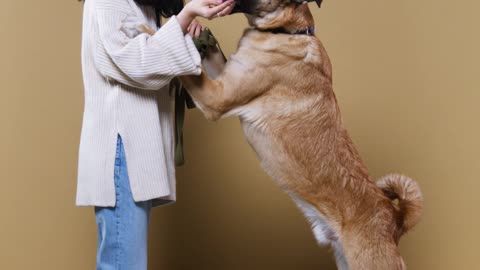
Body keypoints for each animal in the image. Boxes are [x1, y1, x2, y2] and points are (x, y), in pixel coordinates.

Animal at [171, 1, 422, 268]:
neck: (286, 31)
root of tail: (394, 217)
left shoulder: (216, 98)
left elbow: (185, 69)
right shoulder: (224, 79)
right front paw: (196, 31)